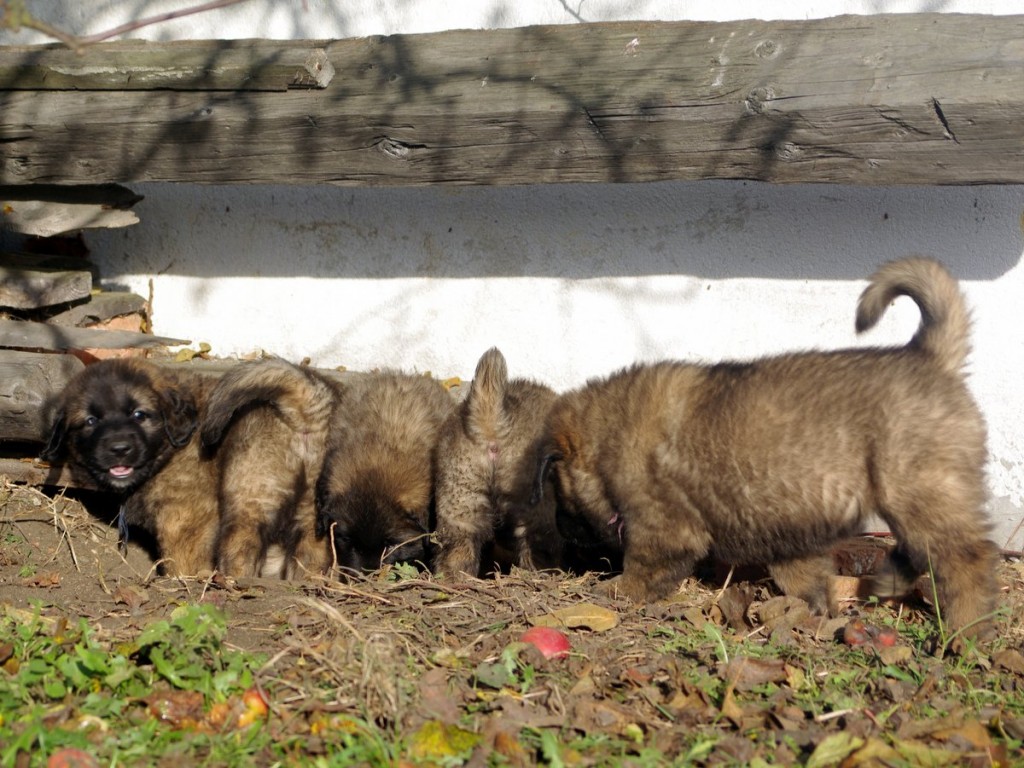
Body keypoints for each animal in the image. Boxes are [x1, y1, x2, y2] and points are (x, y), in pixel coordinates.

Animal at [540, 259, 995, 643]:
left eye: (557, 490)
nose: (562, 533)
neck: (609, 435)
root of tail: (931, 359)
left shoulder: (662, 526)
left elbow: (643, 565)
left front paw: (615, 590)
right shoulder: (790, 531)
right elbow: (805, 576)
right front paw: (817, 611)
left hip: (921, 493)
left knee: (966, 562)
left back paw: (965, 632)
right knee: (921, 551)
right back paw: (890, 582)